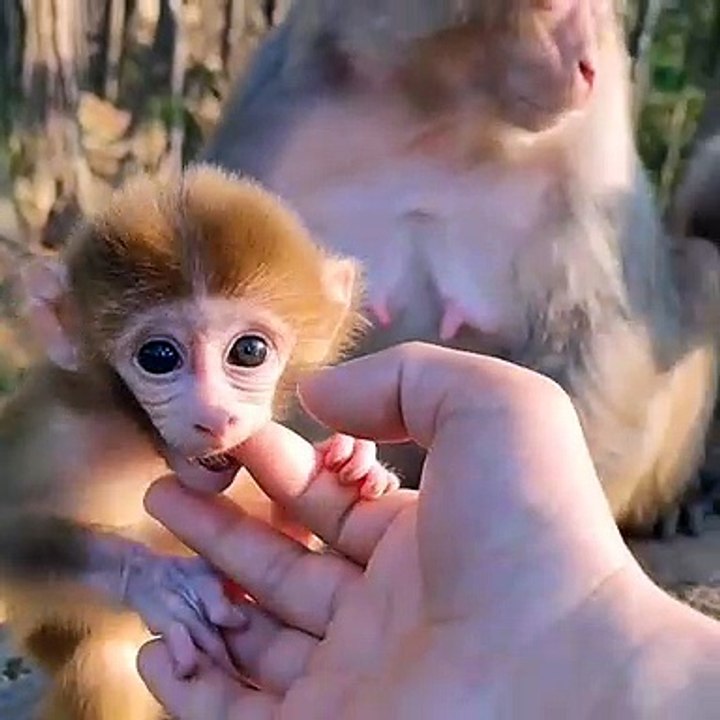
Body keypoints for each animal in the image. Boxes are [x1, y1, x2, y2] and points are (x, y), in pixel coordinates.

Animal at [0, 163, 398, 720]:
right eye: (159, 357)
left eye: (249, 351)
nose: (214, 417)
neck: (141, 448)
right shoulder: (56, 434)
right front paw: (149, 576)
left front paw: (354, 461)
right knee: (103, 666)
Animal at [200, 0, 720, 538]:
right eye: (551, 5)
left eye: (597, 9)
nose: (588, 66)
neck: (439, 113)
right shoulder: (275, 111)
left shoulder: (593, 142)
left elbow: (594, 330)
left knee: (704, 269)